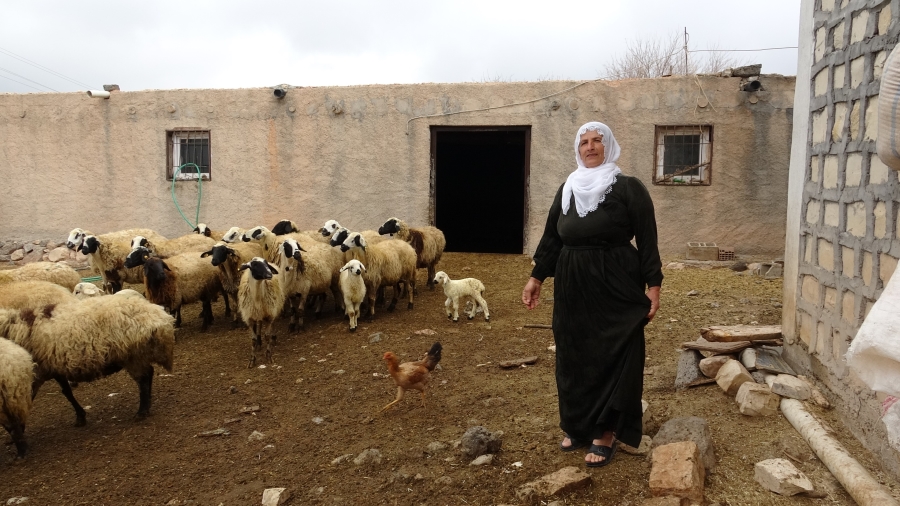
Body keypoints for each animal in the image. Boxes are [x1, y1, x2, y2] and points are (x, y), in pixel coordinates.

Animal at [0, 298, 177, 428]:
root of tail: (160, 316)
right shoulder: (53, 367)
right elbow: (67, 392)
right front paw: (80, 417)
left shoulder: (36, 372)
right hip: (136, 355)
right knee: (148, 374)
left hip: (133, 356)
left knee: (144, 378)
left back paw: (142, 411)